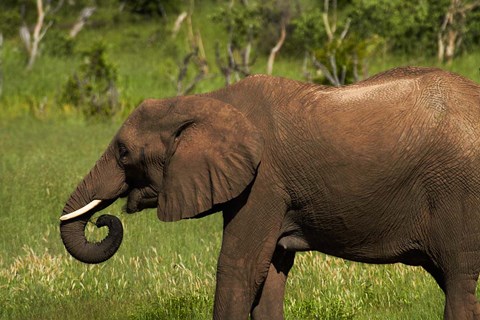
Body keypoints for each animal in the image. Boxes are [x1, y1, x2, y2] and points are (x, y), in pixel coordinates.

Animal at [59, 66, 480, 318]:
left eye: (124, 153)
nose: (103, 220)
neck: (209, 101)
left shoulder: (264, 182)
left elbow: (240, 267)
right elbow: (271, 273)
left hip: (459, 193)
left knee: (459, 279)